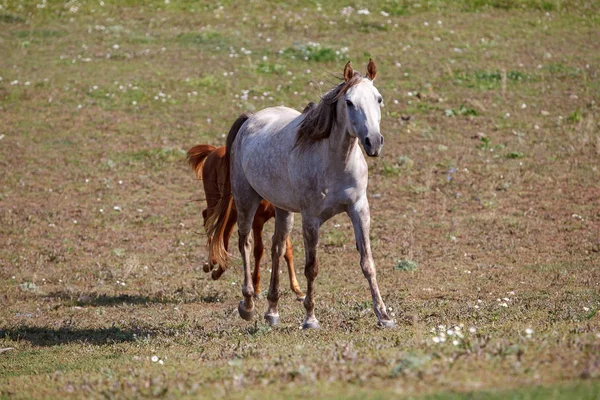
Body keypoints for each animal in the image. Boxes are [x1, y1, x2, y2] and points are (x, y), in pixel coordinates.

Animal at [206, 59, 394, 328]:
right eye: (349, 102)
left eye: (378, 99)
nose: (373, 142)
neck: (334, 163)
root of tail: (250, 119)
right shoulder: (311, 219)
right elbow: (311, 268)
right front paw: (310, 318)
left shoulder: (359, 209)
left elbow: (368, 263)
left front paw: (384, 315)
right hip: (246, 199)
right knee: (246, 243)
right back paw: (248, 304)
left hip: (283, 209)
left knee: (277, 248)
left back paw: (272, 311)